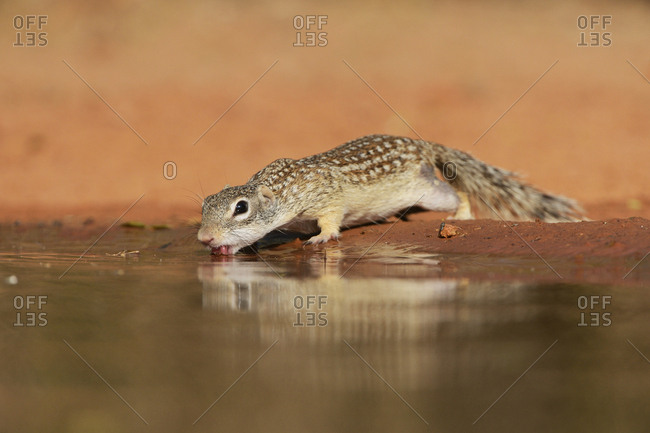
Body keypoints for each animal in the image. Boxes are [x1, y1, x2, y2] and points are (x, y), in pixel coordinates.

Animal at [198, 134, 583, 255]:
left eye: (241, 208)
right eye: (204, 206)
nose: (204, 238)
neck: (283, 186)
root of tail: (422, 144)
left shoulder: (326, 197)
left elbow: (331, 219)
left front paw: (320, 238)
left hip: (428, 192)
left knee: (455, 193)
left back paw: (460, 215)